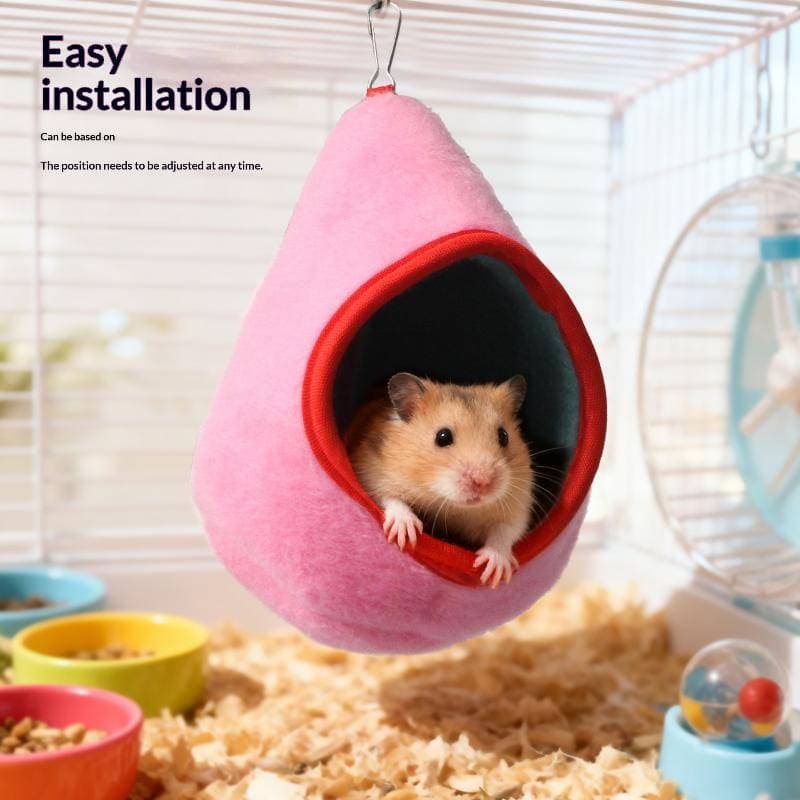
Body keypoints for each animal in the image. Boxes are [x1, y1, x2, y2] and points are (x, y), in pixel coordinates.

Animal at [347, 373, 534, 587]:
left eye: (503, 436)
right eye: (442, 437)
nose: (483, 482)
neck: (452, 505)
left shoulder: (518, 505)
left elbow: (506, 531)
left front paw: (495, 571)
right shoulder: (370, 470)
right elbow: (389, 497)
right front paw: (406, 534)